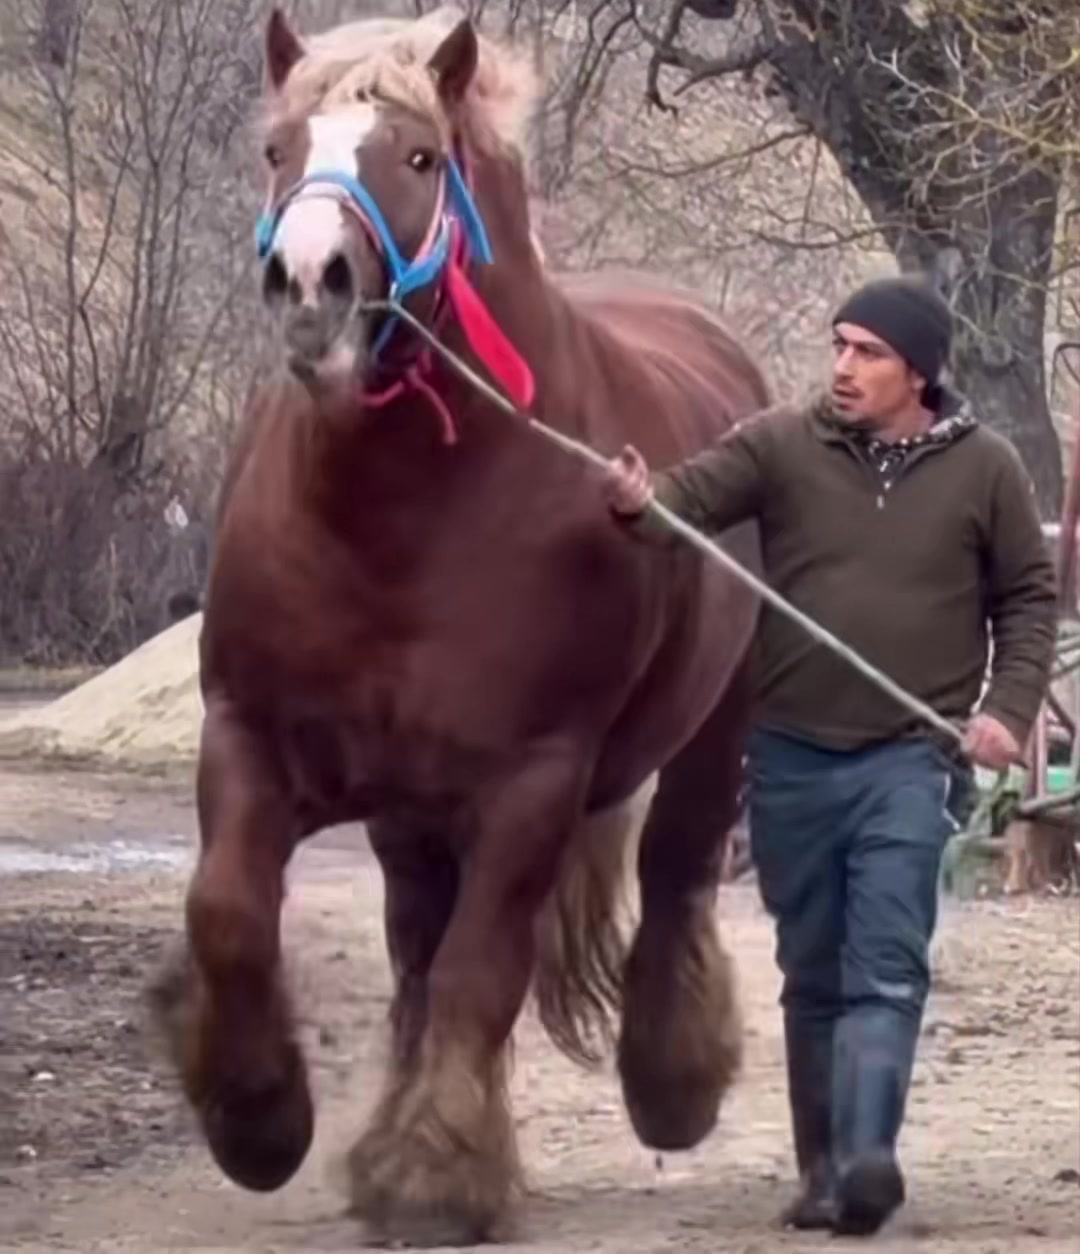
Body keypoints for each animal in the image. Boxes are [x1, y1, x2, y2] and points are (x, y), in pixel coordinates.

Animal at [149, 6, 771, 1245]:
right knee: (411, 951)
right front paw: (258, 1120)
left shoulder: (529, 784)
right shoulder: (249, 737)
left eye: (421, 156)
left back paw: (669, 1085)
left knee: (677, 874)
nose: (310, 283)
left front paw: (438, 1172)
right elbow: (231, 915)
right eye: (278, 148)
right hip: (407, 814)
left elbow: (482, 970)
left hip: (708, 736)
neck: (402, 521)